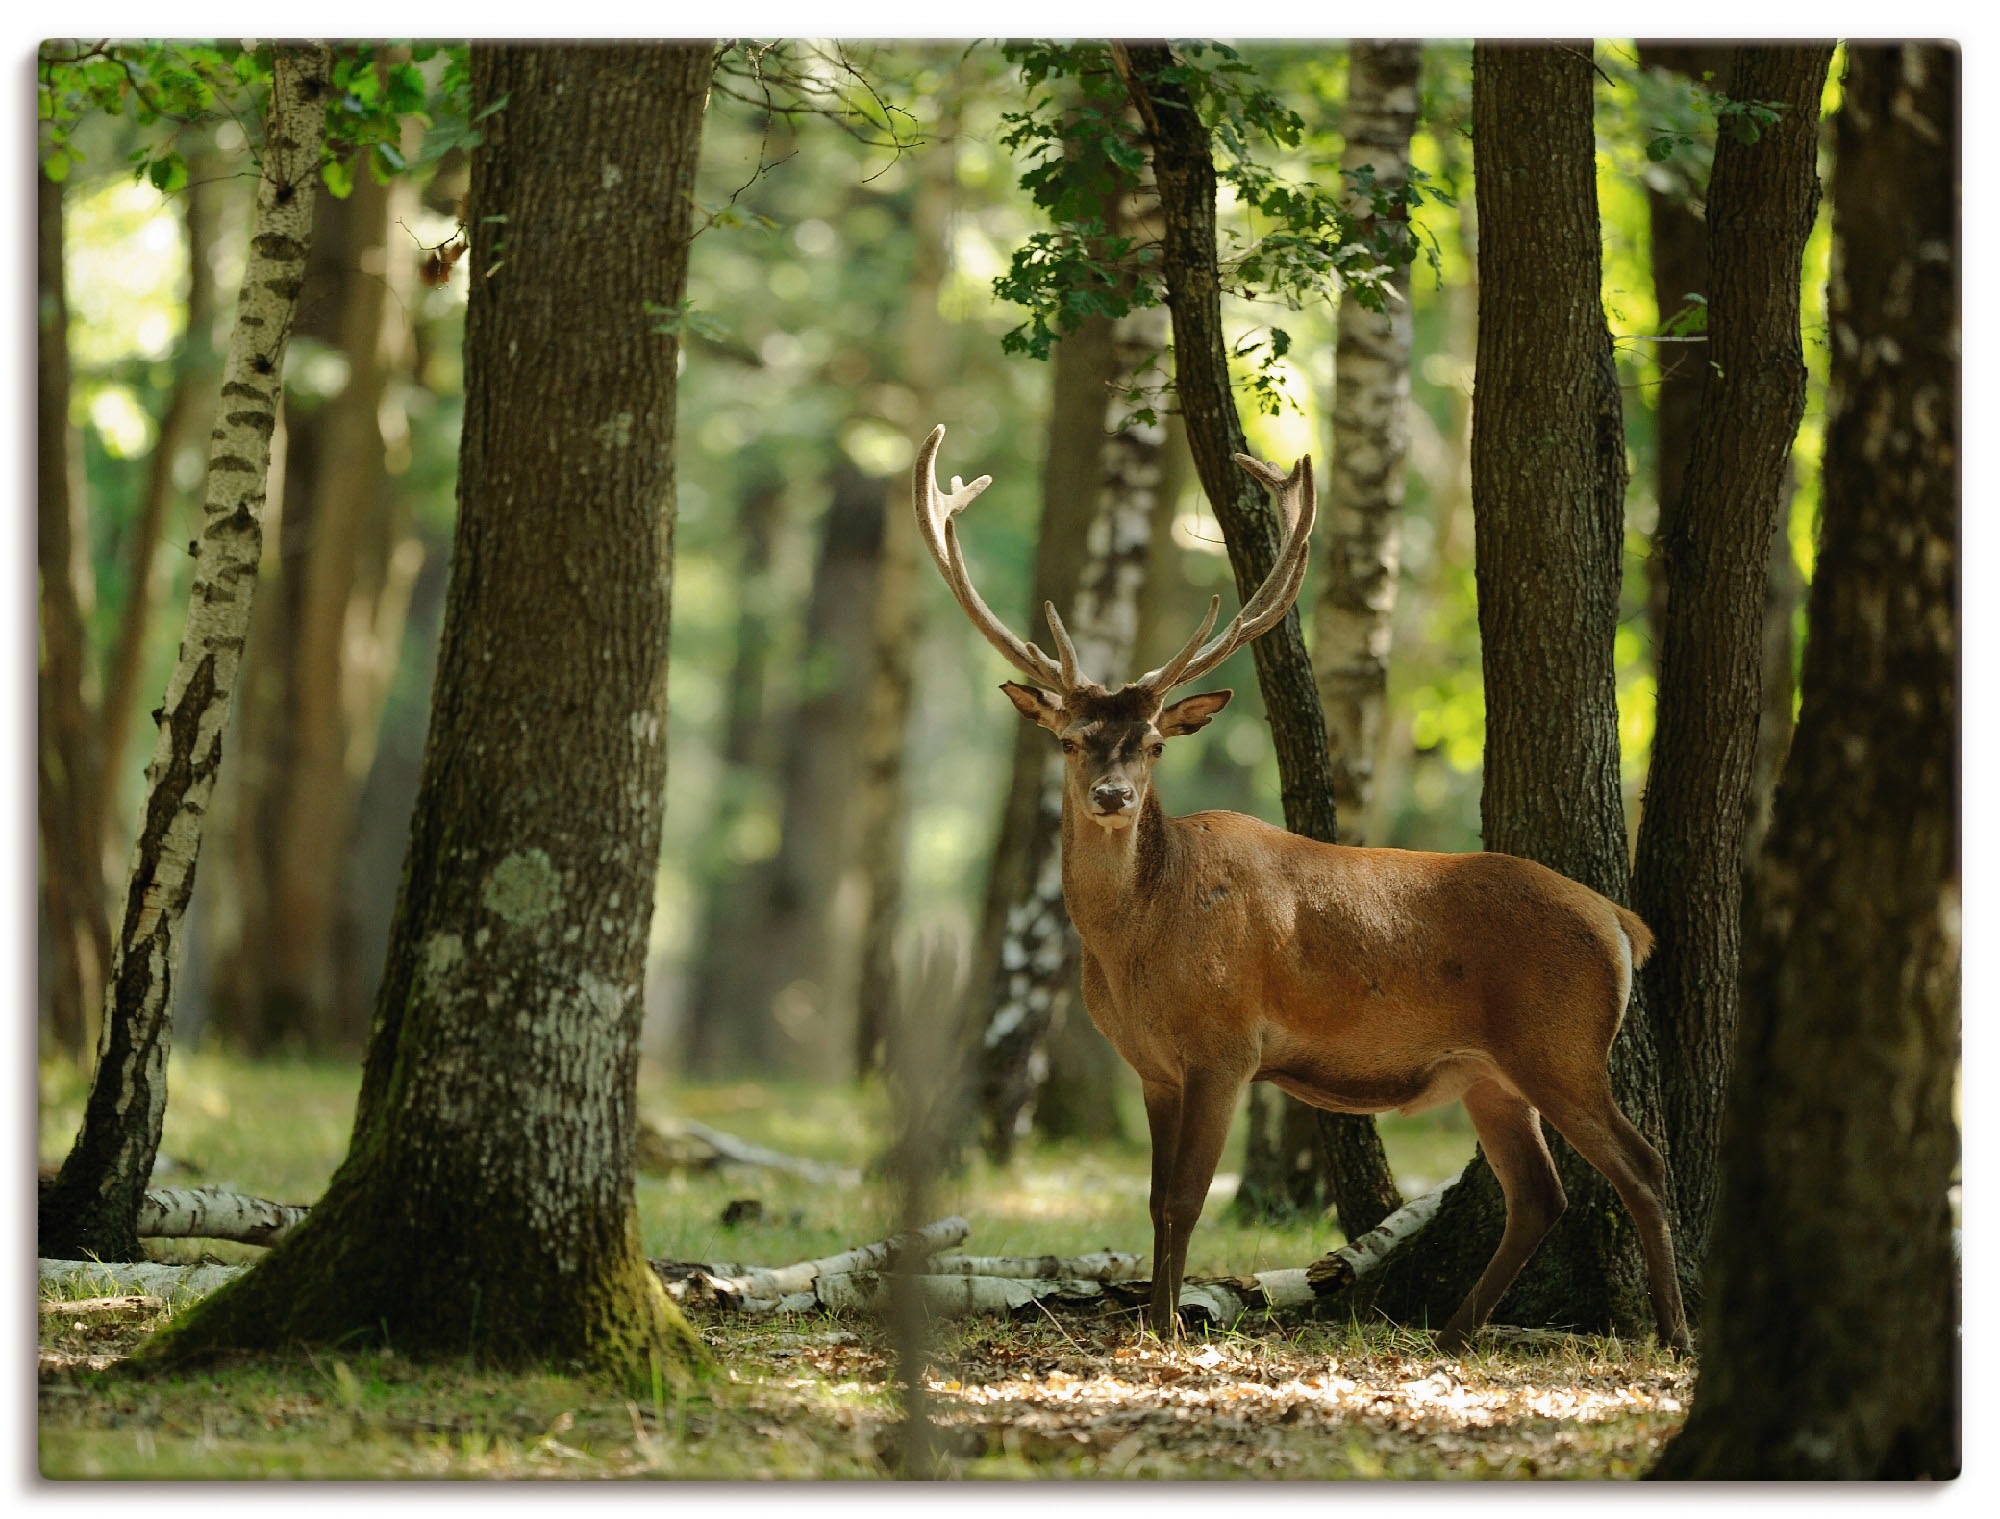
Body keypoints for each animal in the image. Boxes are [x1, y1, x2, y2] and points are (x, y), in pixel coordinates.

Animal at [915, 424, 1690, 1355]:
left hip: (1563, 1043)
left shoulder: (1225, 1045)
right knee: (1541, 1191)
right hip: (1489, 1072)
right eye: (1070, 738)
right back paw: (1454, 1329)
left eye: (1154, 744)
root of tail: (1621, 921)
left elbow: (1184, 1198)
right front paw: (1151, 1316)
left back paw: (1674, 1333)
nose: (1112, 796)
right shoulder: (1153, 1065)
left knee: (1643, 1163)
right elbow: (1155, 1199)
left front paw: (1167, 1326)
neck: (1138, 942)